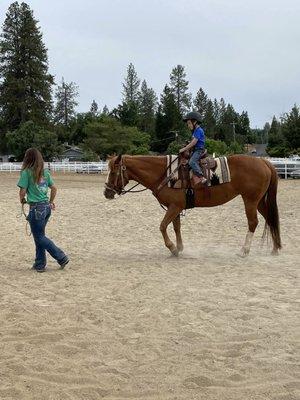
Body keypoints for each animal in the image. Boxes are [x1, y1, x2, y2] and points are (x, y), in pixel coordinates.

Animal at [103, 155, 282, 258]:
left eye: (113, 172)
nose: (107, 192)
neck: (166, 174)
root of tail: (263, 162)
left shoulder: (174, 206)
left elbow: (162, 226)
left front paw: (173, 248)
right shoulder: (175, 207)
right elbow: (176, 227)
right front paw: (180, 247)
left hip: (250, 200)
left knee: (253, 222)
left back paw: (244, 251)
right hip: (259, 201)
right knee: (270, 219)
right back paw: (275, 248)